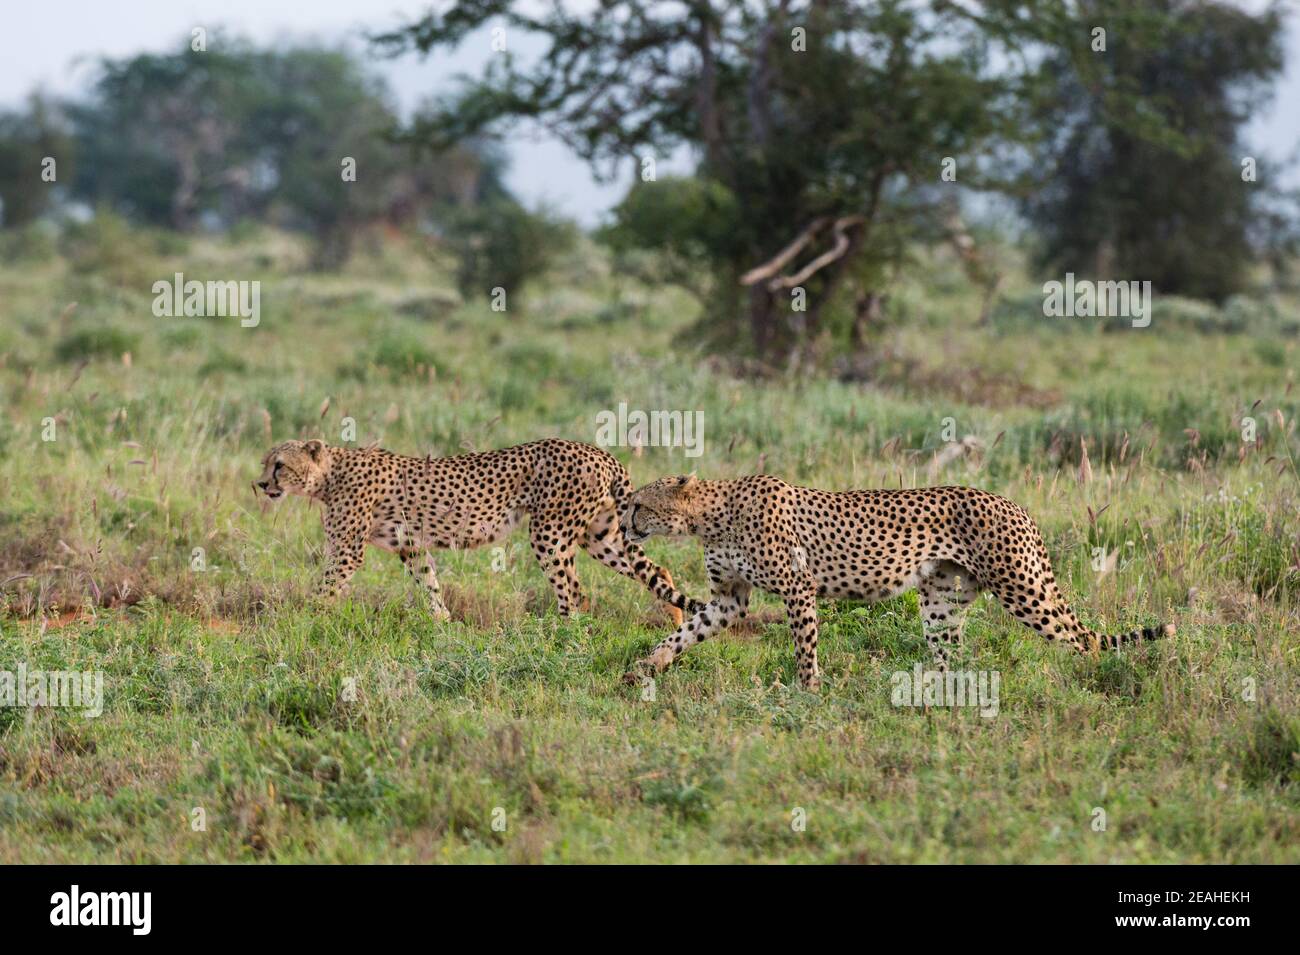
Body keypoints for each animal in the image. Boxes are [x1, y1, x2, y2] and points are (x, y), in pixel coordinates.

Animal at [253, 439, 702, 623]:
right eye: (265, 462)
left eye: (279, 465)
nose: (260, 483)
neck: (329, 475)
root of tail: (600, 452)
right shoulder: (410, 546)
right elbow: (429, 583)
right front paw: (442, 622)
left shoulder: (347, 550)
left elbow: (323, 589)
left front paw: (300, 619)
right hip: (600, 534)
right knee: (656, 571)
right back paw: (675, 620)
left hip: (550, 531)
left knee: (574, 592)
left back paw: (557, 637)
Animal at [624, 475, 1175, 686]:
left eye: (640, 504)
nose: (625, 523)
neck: (712, 515)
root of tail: (1014, 504)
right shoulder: (729, 599)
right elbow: (686, 630)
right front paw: (647, 667)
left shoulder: (798, 588)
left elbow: (804, 648)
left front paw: (807, 692)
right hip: (943, 603)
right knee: (953, 654)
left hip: (1023, 589)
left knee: (1084, 639)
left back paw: (1094, 683)